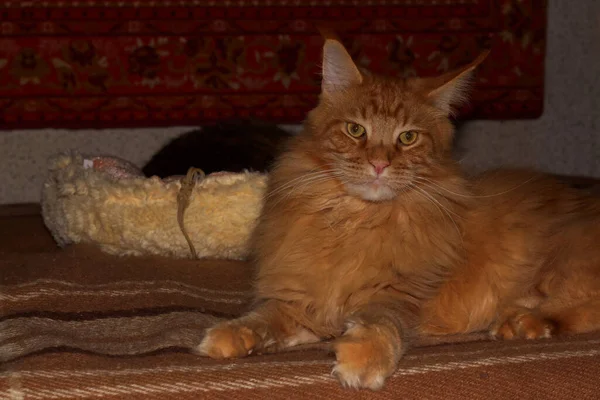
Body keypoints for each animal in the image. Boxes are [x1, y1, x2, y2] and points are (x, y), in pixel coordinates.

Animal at [197, 36, 600, 388]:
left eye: (408, 137)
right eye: (355, 130)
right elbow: (264, 317)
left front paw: (361, 359)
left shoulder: (400, 294)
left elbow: (379, 324)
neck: (358, 221)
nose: (379, 164)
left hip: (563, 265)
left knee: (582, 309)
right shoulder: (304, 301)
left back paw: (523, 322)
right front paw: (228, 336)